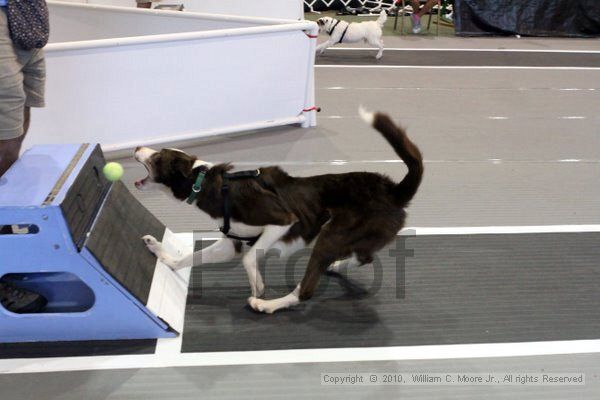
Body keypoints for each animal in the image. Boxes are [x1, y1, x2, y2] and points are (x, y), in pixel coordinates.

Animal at [135, 108, 422, 314]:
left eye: (158, 157)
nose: (137, 147)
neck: (208, 183)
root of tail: (394, 190)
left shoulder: (282, 220)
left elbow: (249, 259)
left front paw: (258, 287)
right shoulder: (231, 243)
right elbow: (190, 258)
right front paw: (164, 255)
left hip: (330, 235)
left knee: (306, 290)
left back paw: (267, 305)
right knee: (365, 257)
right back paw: (338, 265)